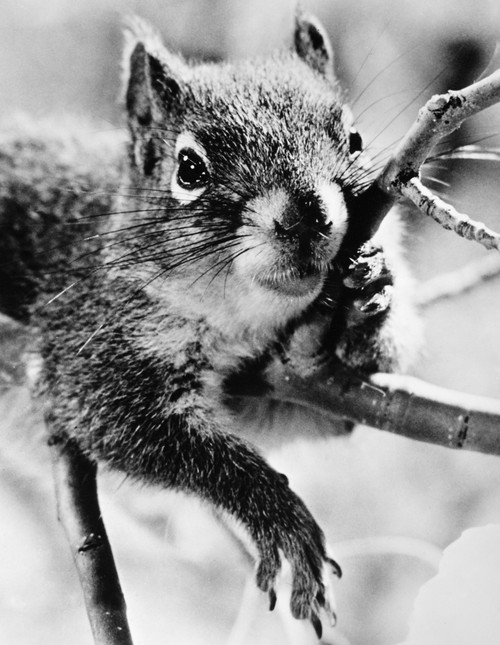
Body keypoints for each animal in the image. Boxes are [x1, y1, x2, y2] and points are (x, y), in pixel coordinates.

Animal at [0, 12, 418, 637]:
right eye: (189, 169)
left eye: (355, 139)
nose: (308, 215)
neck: (238, 323)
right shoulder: (87, 346)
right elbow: (137, 428)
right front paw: (277, 514)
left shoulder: (282, 387)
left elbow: (328, 409)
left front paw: (370, 291)